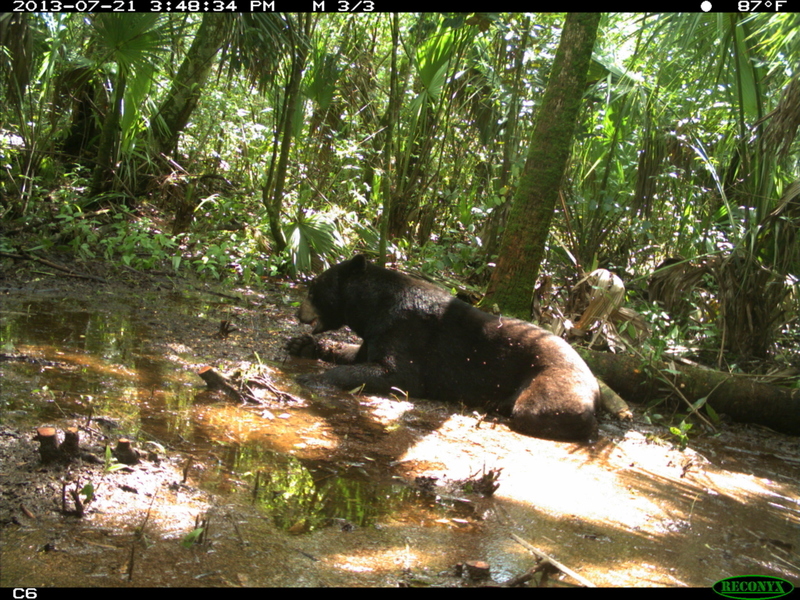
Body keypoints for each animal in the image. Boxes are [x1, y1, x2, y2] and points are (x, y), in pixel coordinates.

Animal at [290, 254, 600, 440]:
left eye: (312, 289)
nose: (297, 313)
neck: (373, 306)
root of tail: (596, 384)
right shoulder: (377, 331)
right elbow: (357, 355)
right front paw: (303, 344)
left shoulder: (404, 328)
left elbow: (398, 374)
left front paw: (312, 377)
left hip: (553, 381)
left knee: (541, 410)